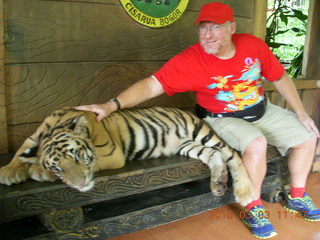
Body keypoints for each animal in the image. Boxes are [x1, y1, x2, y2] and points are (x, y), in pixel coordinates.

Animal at [0, 107, 254, 206]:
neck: (55, 126)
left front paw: (36, 170)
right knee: (214, 155)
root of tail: (189, 112)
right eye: (58, 168)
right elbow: (21, 150)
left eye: (78, 156)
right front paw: (10, 171)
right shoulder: (34, 137)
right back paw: (218, 182)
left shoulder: (111, 154)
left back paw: (244, 191)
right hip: (189, 146)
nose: (80, 185)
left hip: (199, 133)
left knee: (230, 153)